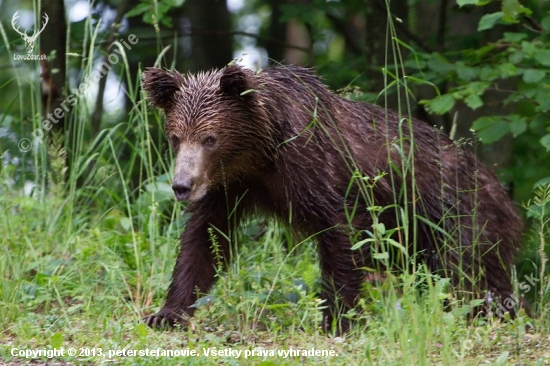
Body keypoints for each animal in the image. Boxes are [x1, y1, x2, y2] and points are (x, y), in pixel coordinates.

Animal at [141, 64, 520, 334]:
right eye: (176, 137)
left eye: (210, 138)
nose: (181, 185)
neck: (258, 153)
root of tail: (500, 187)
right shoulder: (231, 187)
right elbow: (204, 239)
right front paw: (167, 313)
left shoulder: (316, 169)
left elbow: (343, 233)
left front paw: (337, 318)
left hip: (457, 214)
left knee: (465, 269)